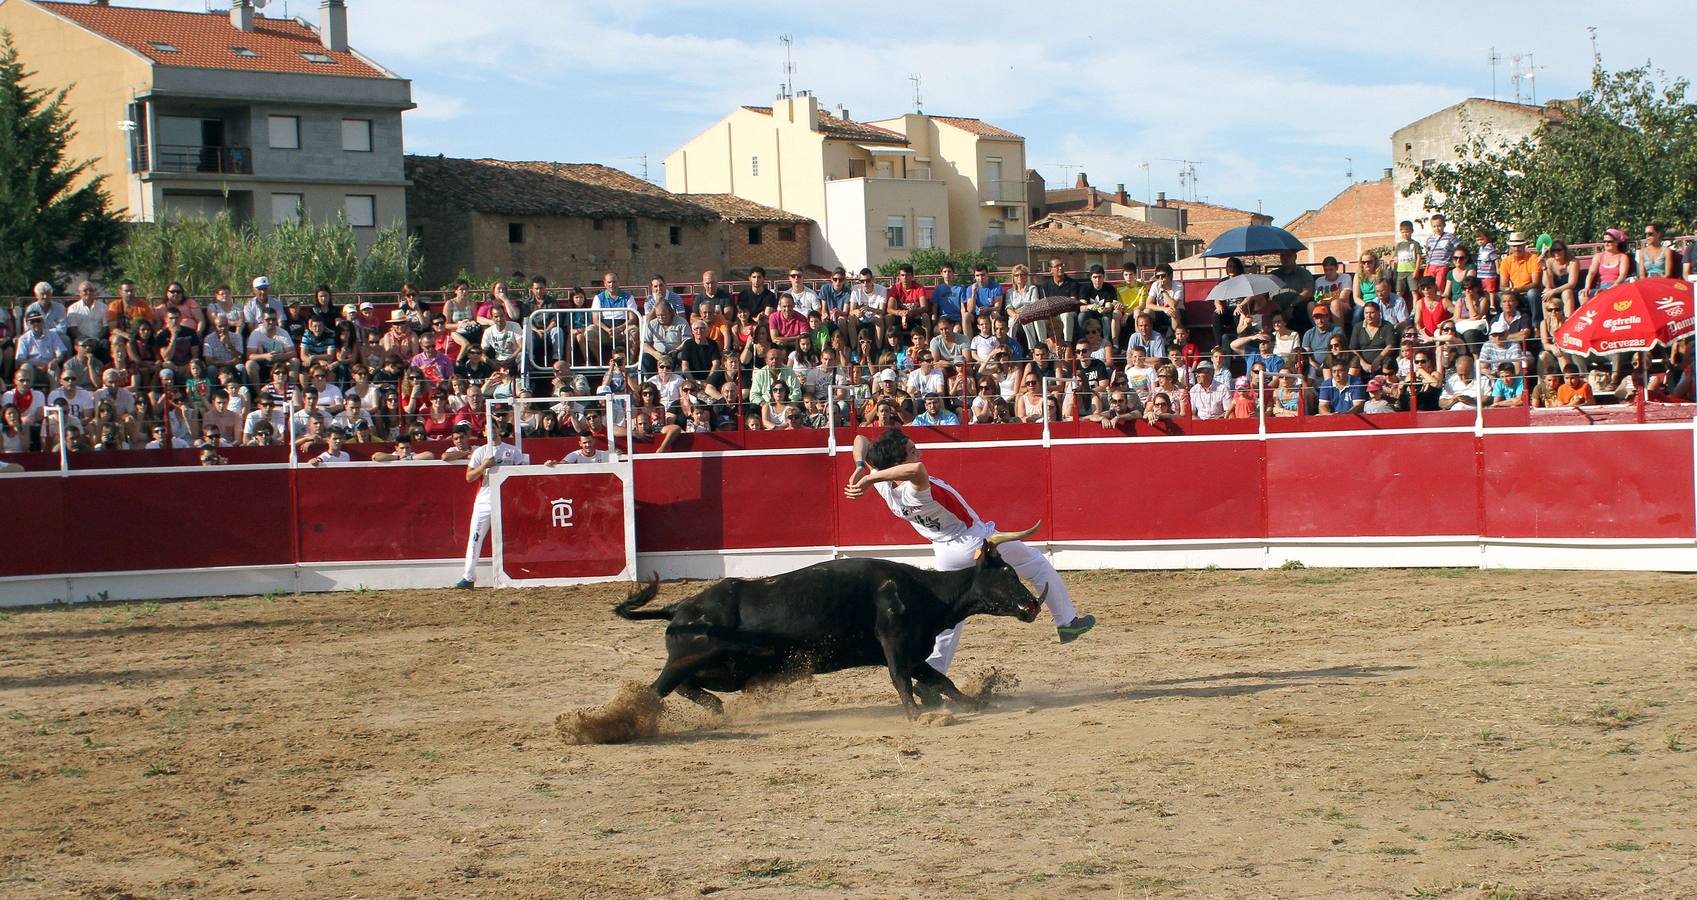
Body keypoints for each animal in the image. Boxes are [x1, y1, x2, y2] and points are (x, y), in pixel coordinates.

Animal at [617, 533, 1038, 713]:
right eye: (1008, 574)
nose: (1032, 605)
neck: (921, 591)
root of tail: (682, 608)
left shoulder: (914, 652)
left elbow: (941, 681)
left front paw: (975, 702)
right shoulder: (894, 641)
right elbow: (901, 679)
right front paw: (917, 715)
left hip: (722, 669)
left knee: (684, 687)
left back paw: (719, 709)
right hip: (694, 659)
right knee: (657, 689)